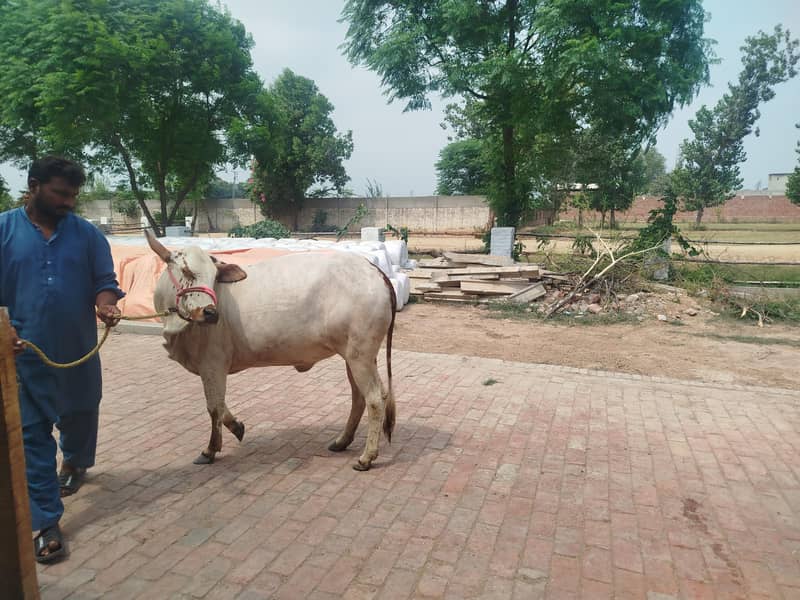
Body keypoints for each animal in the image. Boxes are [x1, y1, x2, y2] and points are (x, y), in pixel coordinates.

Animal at [144, 230, 396, 471]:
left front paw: (210, 450)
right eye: (186, 271)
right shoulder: (211, 368)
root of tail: (372, 269)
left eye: (214, 277)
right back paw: (342, 441)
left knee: (375, 398)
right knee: (360, 397)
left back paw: (366, 457)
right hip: (354, 356)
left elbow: (214, 407)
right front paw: (237, 427)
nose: (211, 313)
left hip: (359, 355)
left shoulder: (212, 364)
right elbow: (220, 405)